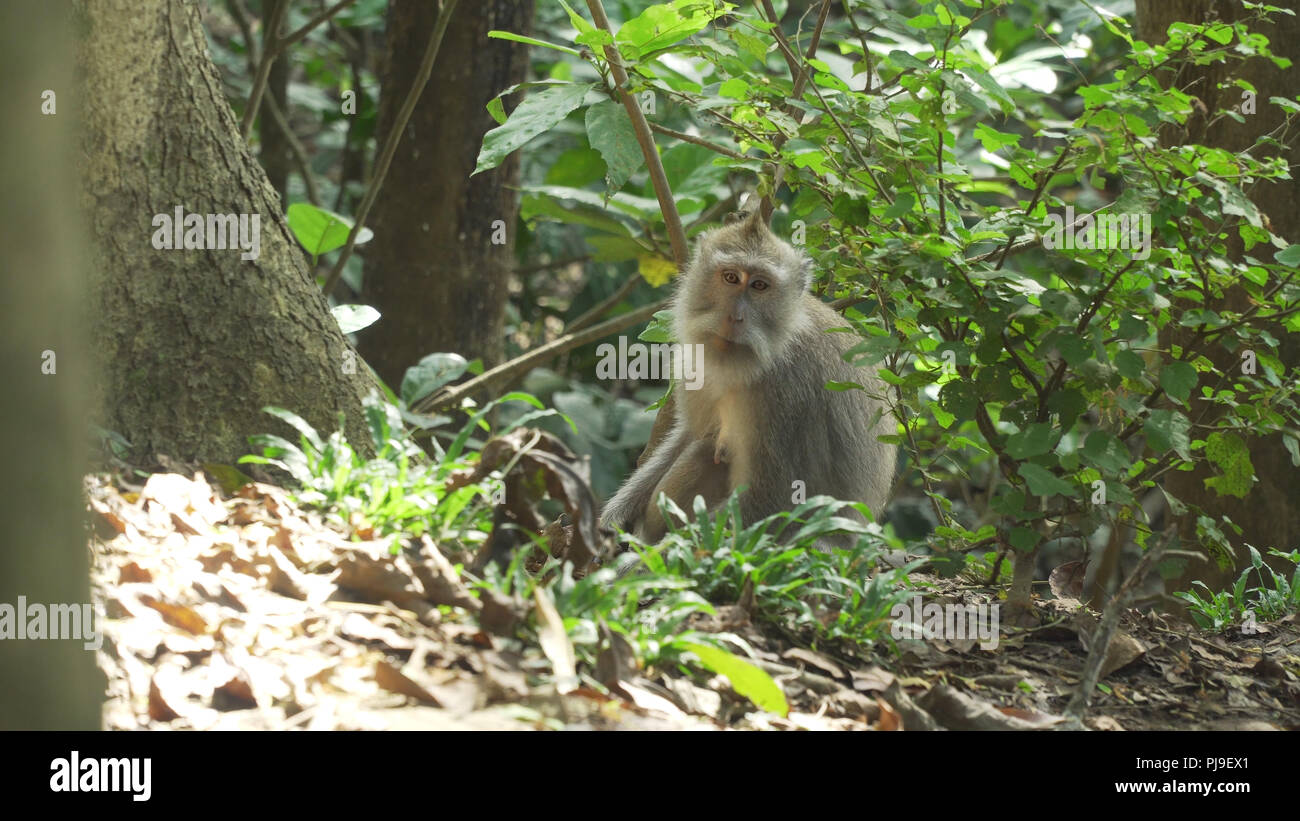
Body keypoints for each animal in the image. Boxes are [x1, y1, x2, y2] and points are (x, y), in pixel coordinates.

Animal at [600, 208, 897, 547]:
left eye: (759, 286)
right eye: (730, 277)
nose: (734, 317)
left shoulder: (786, 393)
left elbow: (774, 500)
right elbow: (689, 434)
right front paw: (614, 518)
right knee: (704, 448)